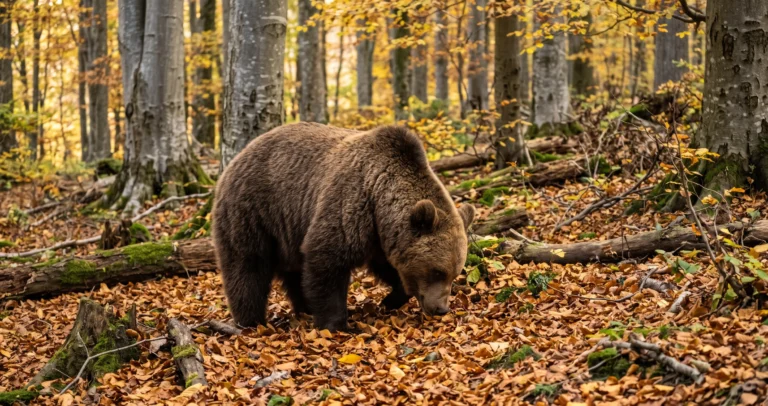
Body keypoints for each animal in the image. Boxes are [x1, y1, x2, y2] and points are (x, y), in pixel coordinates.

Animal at [213, 122, 475, 332]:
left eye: (455, 273)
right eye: (437, 271)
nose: (441, 308)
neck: (379, 198)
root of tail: (237, 158)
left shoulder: (380, 236)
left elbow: (388, 267)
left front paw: (389, 300)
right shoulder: (350, 205)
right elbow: (327, 261)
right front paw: (337, 324)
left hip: (288, 229)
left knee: (294, 271)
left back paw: (304, 307)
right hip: (254, 210)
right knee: (247, 265)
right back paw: (250, 320)